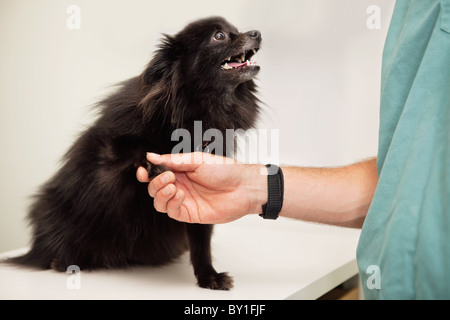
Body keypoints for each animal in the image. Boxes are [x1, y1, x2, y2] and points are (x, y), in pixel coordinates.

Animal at [6, 16, 260, 290]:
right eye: (219, 36)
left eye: (237, 30)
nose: (256, 33)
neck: (199, 110)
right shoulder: (109, 147)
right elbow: (137, 146)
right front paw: (154, 166)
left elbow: (201, 241)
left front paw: (208, 276)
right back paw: (64, 262)